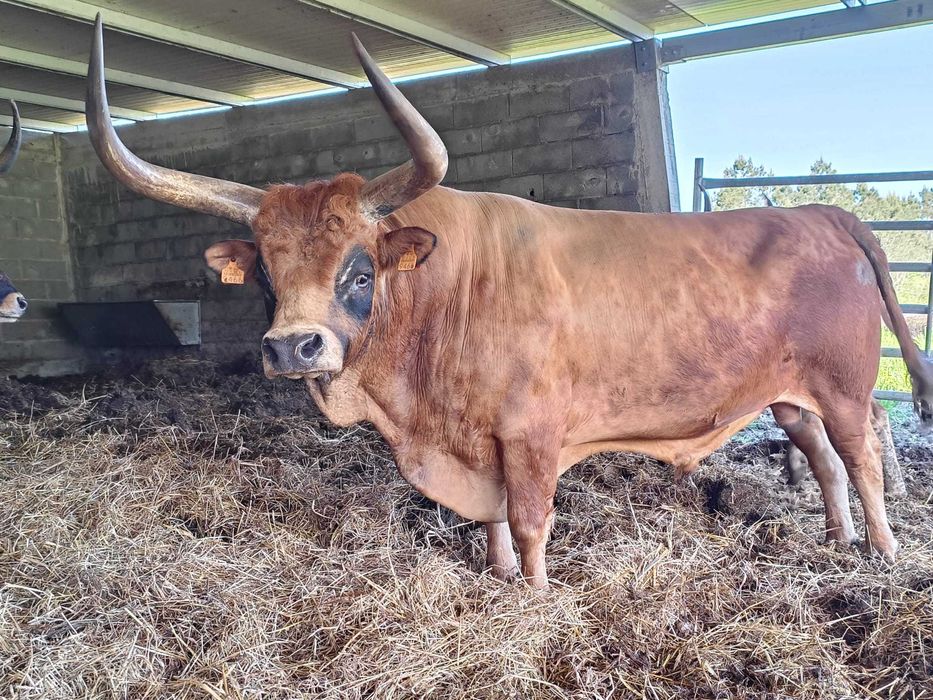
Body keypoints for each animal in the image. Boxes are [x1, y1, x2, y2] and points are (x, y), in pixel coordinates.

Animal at [86, 17, 933, 588]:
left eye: (359, 273)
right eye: (263, 271)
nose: (293, 347)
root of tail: (820, 213)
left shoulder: (530, 437)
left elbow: (527, 522)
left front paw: (534, 593)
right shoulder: (477, 442)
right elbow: (491, 517)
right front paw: (495, 579)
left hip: (843, 384)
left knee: (859, 452)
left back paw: (881, 550)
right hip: (785, 391)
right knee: (819, 457)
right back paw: (836, 539)